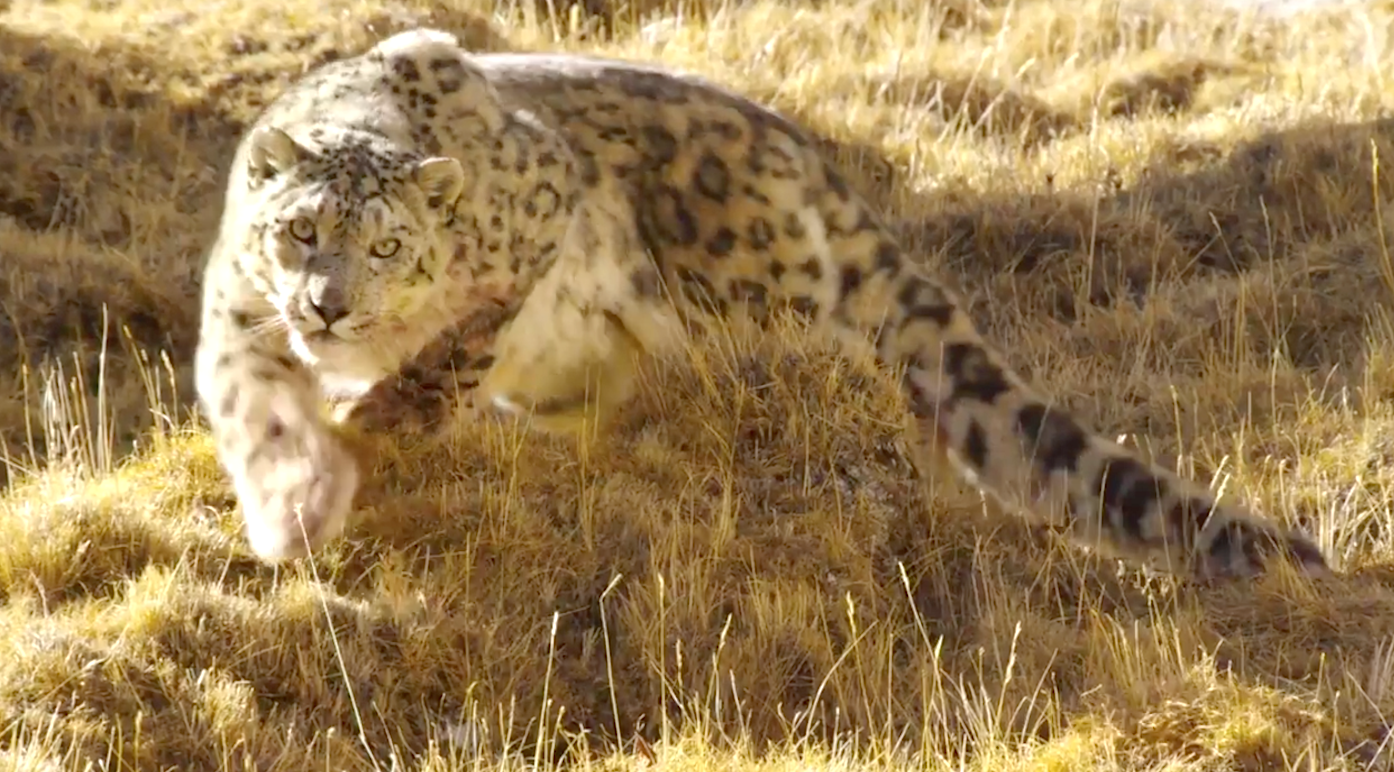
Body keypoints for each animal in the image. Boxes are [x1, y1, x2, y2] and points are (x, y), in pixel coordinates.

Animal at [195, 27, 1330, 580]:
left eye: (388, 245)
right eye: (300, 230)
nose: (328, 306)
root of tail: (797, 144)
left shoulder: (536, 208)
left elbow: (464, 336)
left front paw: (387, 409)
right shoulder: (239, 316)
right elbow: (254, 407)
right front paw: (291, 504)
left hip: (750, 300)